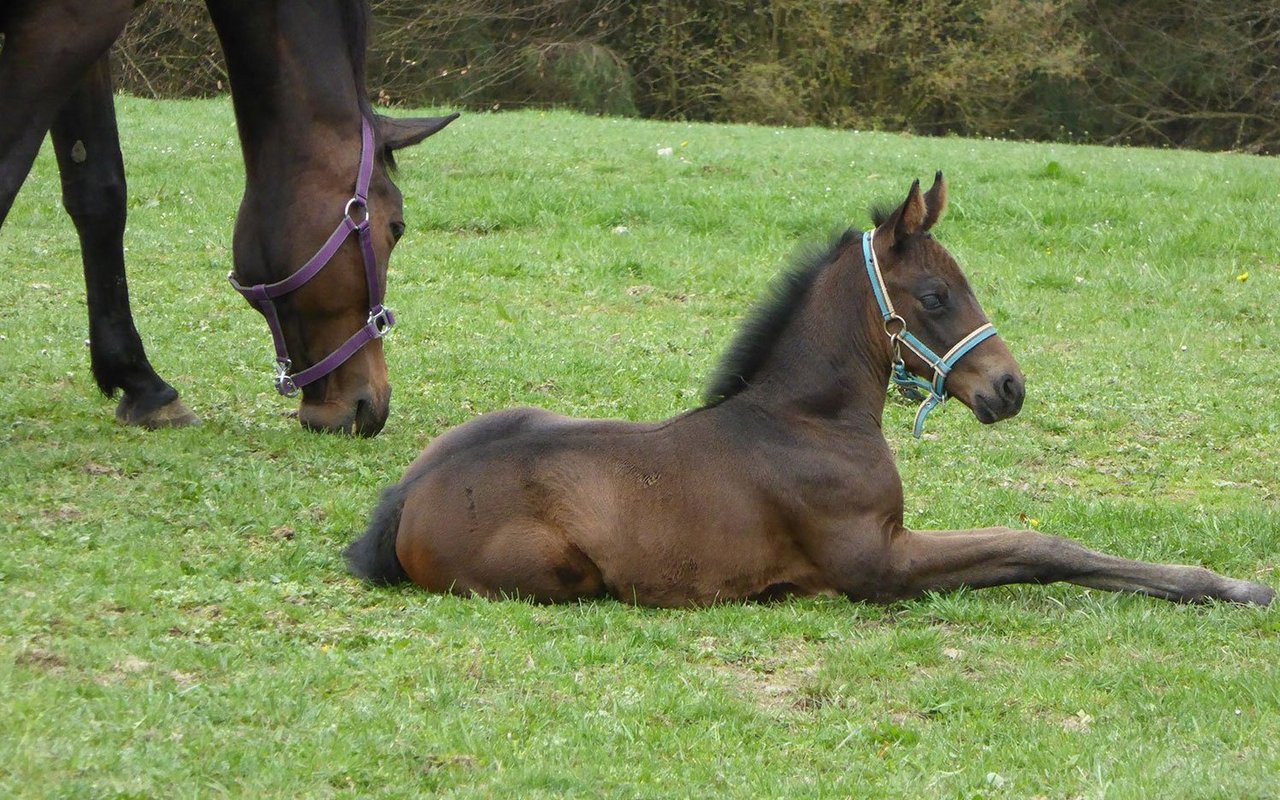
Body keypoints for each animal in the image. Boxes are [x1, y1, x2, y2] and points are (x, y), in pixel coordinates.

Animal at [345, 174, 1274, 609]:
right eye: (936, 296)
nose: (1009, 387)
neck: (809, 421)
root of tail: (405, 498)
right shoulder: (878, 564)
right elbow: (1039, 545)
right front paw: (1232, 587)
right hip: (563, 575)